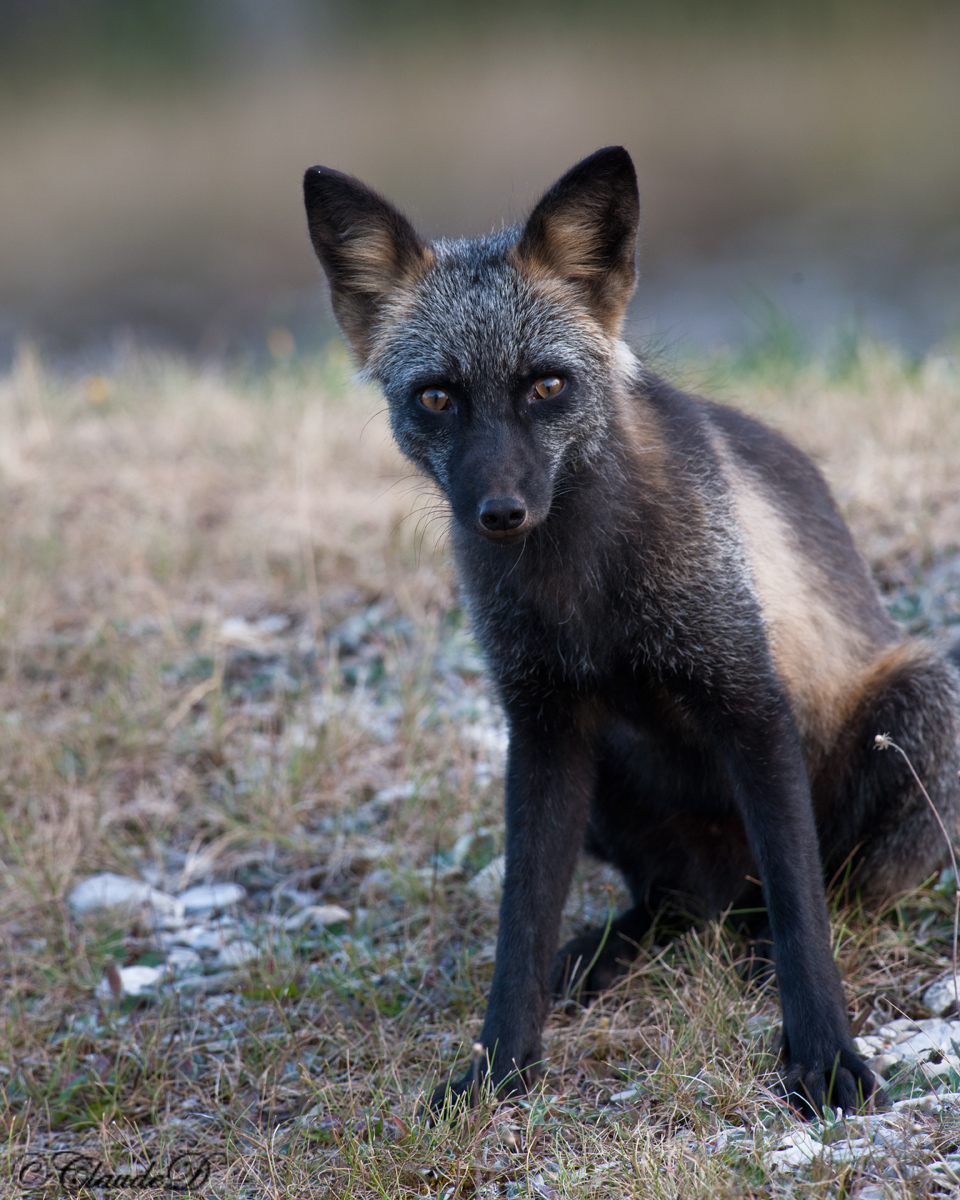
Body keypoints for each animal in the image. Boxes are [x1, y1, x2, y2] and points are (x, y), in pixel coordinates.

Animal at [302, 146, 960, 1115]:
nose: (501, 513)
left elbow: (805, 917)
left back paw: (756, 946)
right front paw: (501, 1065)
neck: (586, 594)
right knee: (675, 905)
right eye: (437, 397)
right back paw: (618, 946)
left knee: (810, 896)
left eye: (546, 385)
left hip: (919, 705)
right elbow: (521, 929)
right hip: (609, 781)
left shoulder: (746, 696)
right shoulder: (541, 724)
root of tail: (724, 889)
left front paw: (823, 1055)